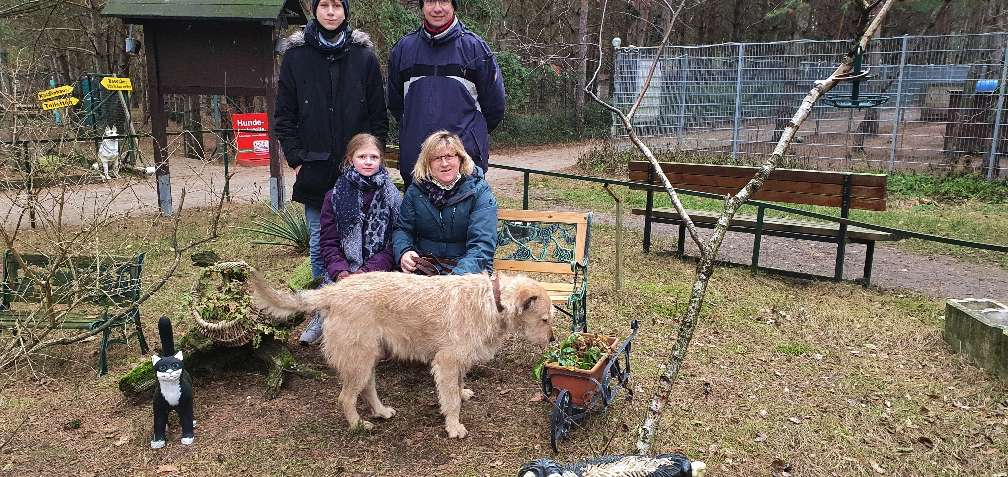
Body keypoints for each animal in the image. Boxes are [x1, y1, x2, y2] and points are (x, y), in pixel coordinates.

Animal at [249, 271, 555, 438]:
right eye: (544, 320)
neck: (493, 301)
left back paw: (381, 411)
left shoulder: (457, 362)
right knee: (345, 398)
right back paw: (358, 425)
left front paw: (462, 392)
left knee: (367, 389)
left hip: (367, 357)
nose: (553, 340)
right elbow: (451, 400)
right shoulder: (446, 362)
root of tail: (334, 291)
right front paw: (453, 425)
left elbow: (458, 386)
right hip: (359, 360)